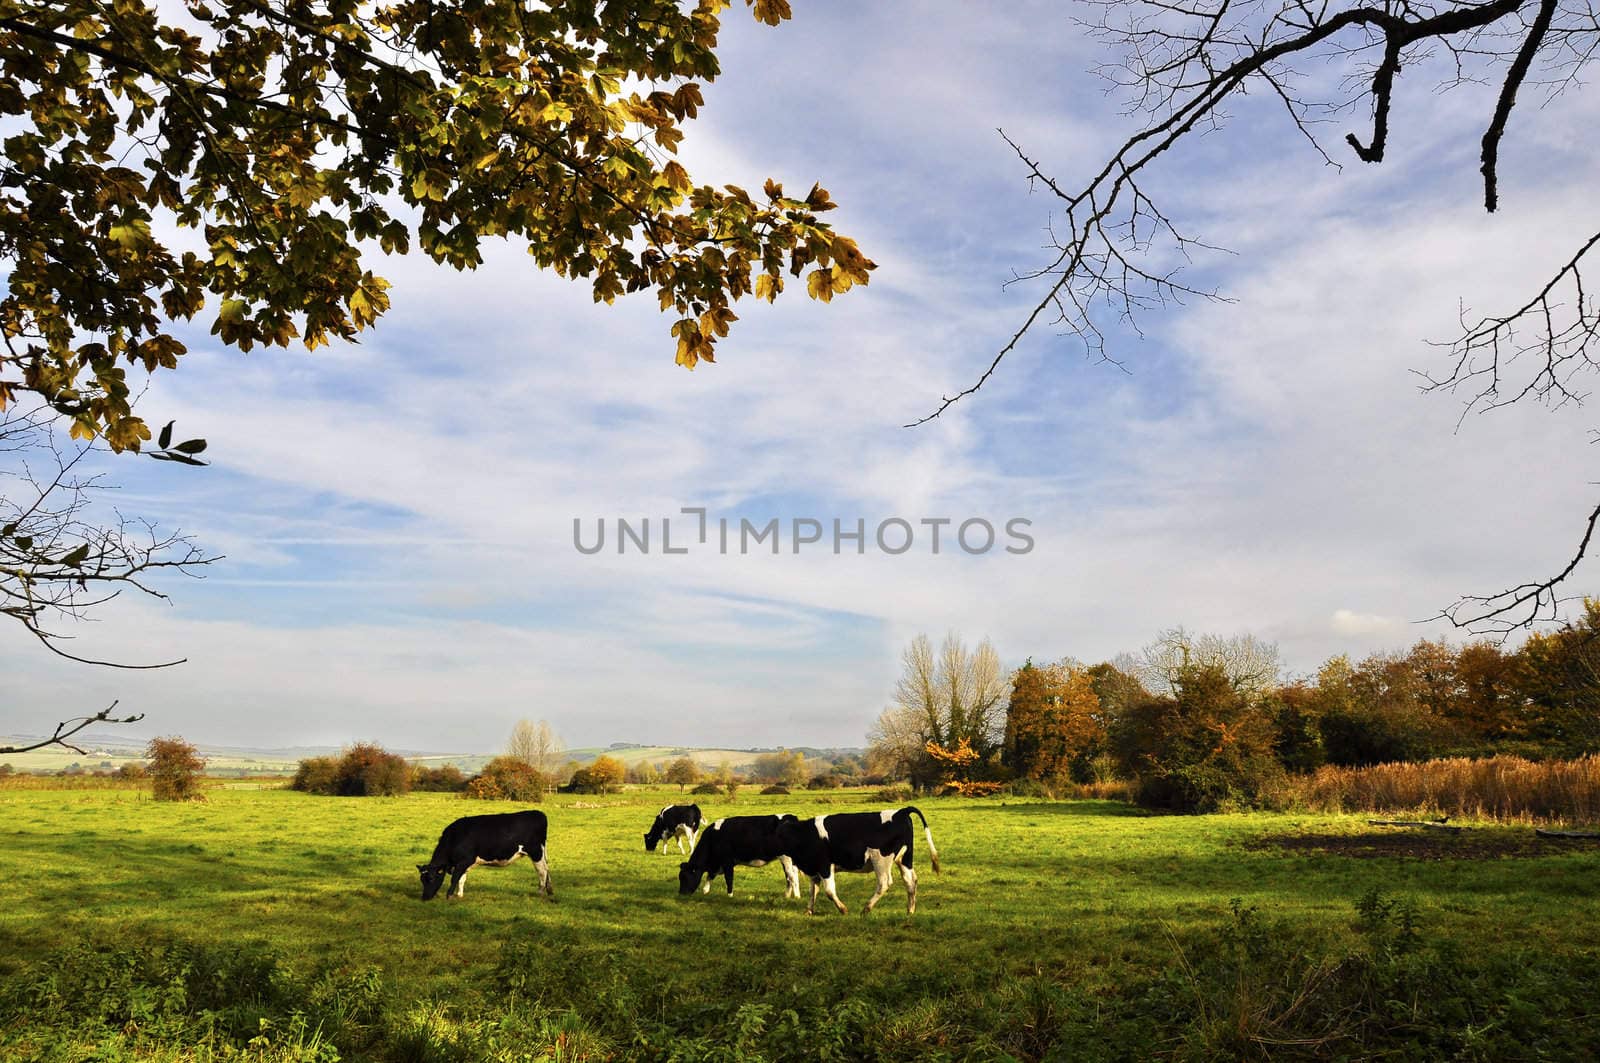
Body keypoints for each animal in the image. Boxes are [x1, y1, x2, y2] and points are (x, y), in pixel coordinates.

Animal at [416, 810, 553, 902]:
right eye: (422, 880)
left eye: (431, 879)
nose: (424, 898)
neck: (455, 837)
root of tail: (538, 813)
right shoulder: (464, 863)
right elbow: (462, 879)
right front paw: (459, 895)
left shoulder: (464, 861)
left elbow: (455, 878)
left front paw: (449, 895)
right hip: (541, 852)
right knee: (547, 869)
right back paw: (550, 891)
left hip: (536, 852)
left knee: (542, 871)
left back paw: (540, 892)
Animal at [777, 806, 934, 915]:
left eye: (781, 836)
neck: (806, 834)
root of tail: (901, 811)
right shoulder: (814, 869)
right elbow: (813, 890)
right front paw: (809, 911)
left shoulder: (825, 866)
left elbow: (829, 891)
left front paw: (843, 909)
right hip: (904, 858)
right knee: (910, 881)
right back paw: (910, 910)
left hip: (881, 860)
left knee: (884, 883)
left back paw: (866, 908)